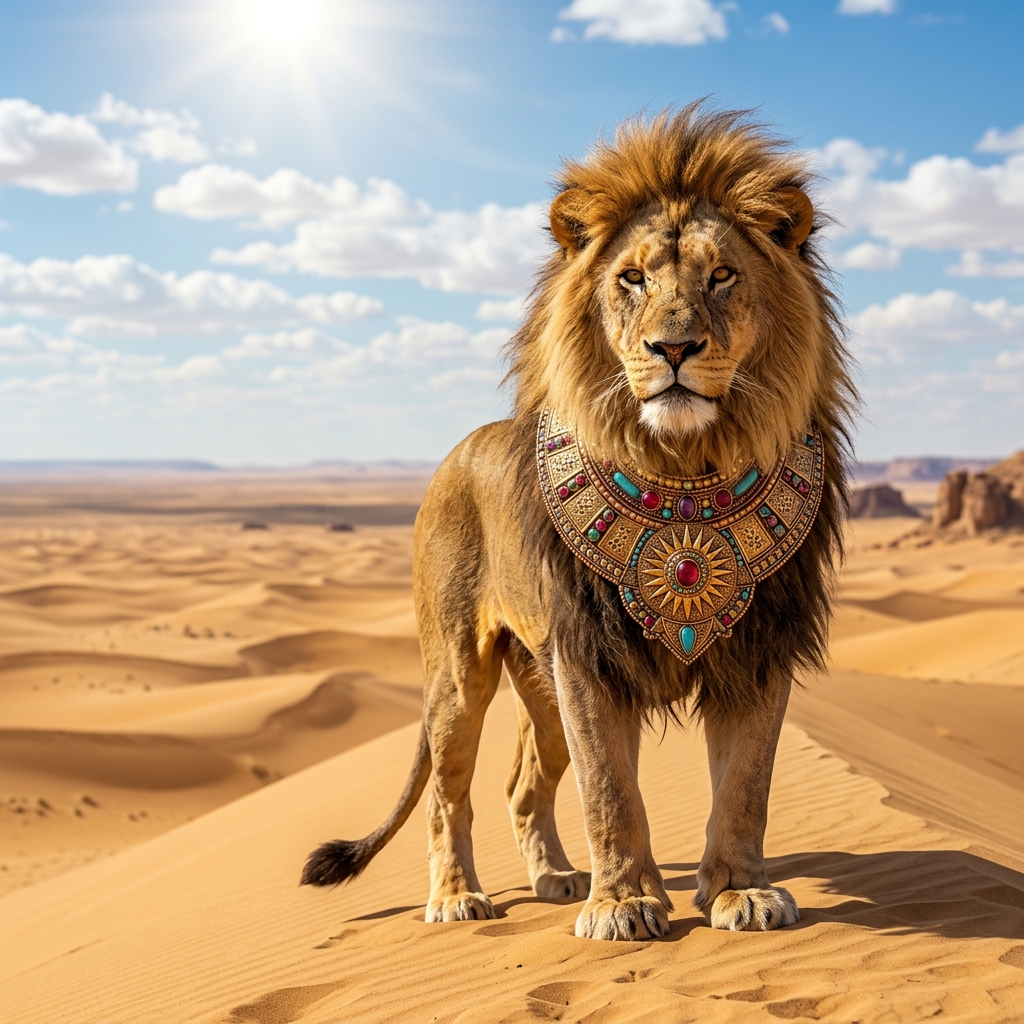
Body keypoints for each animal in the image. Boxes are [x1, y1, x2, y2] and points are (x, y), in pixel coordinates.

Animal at [301, 104, 855, 940]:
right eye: (632, 278)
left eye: (722, 276)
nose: (673, 347)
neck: (683, 463)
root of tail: (455, 453)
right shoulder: (588, 654)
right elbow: (610, 791)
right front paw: (623, 904)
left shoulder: (759, 647)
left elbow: (745, 786)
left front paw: (741, 892)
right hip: (459, 677)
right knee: (447, 794)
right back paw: (456, 897)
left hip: (539, 686)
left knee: (522, 785)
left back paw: (556, 877)